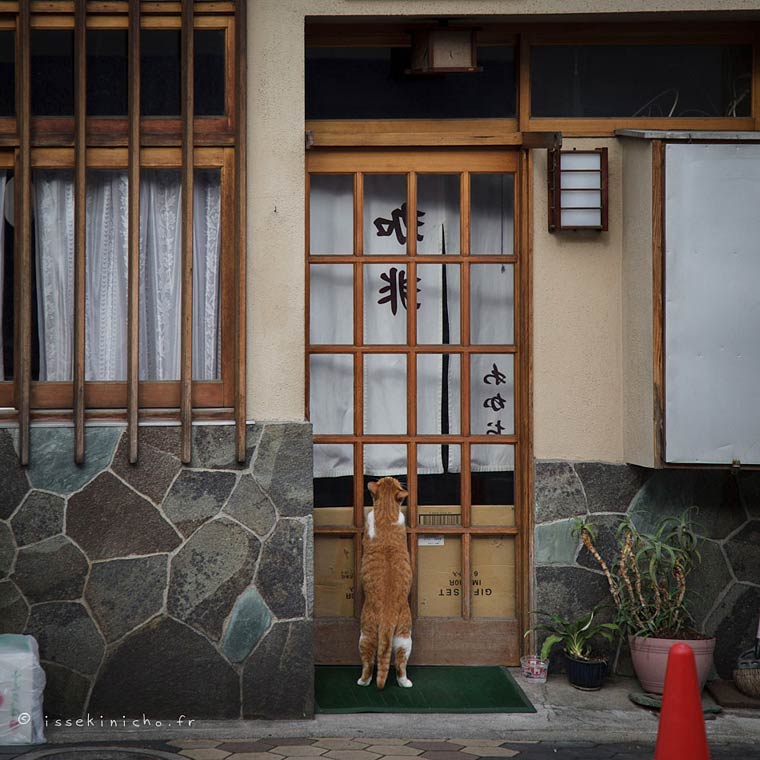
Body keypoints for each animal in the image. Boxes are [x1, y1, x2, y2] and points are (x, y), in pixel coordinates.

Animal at [357, 476, 414, 690]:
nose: (391, 476)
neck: (387, 514)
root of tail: (387, 617)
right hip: (405, 637)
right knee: (400, 664)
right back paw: (405, 683)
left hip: (366, 635)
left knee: (368, 663)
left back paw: (363, 682)